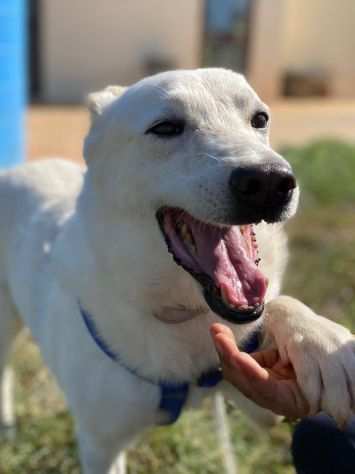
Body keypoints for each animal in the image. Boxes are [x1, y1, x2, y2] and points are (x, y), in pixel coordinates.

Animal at [0, 67, 355, 474]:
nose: (269, 180)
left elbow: (278, 305)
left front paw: (323, 344)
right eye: (166, 127)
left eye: (259, 119)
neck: (182, 312)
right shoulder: (100, 445)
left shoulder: (259, 398)